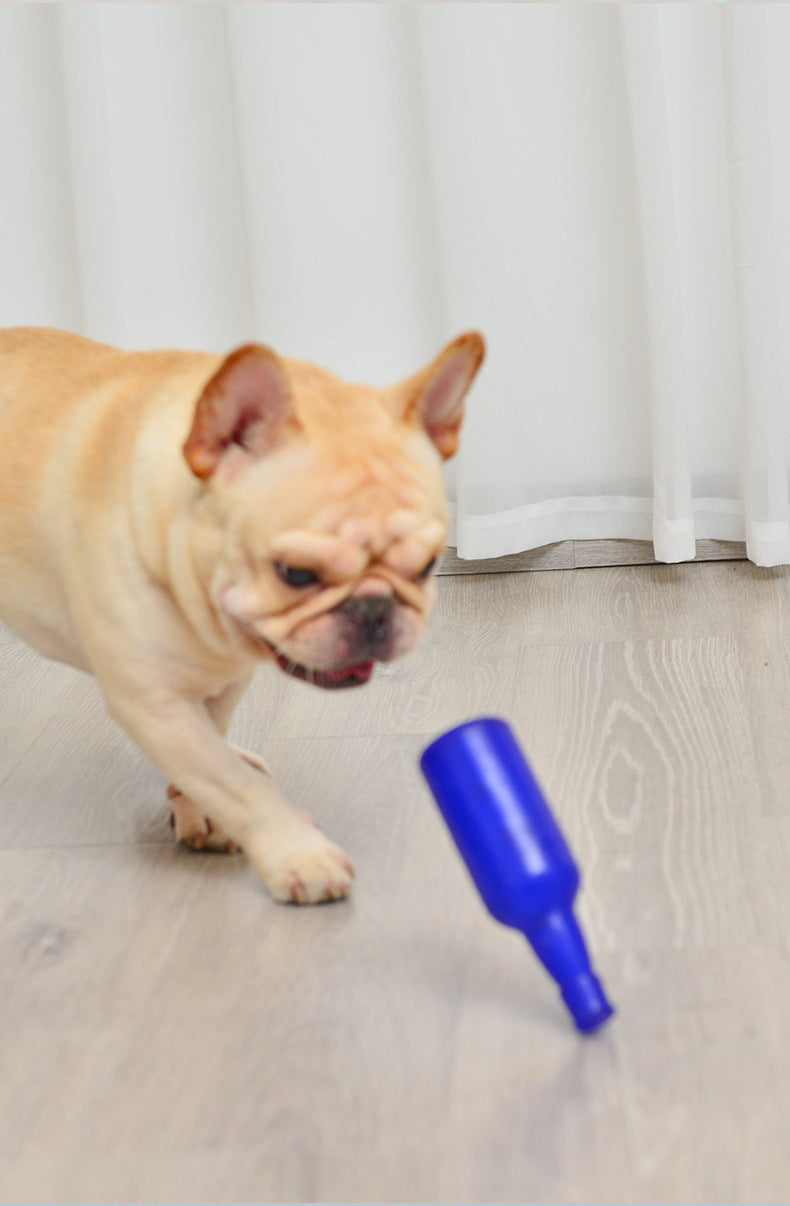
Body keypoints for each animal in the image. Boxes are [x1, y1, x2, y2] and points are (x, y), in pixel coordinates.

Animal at [0, 325, 484, 902]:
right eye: (295, 573)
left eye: (427, 565)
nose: (372, 609)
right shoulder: (155, 703)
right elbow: (233, 784)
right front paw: (299, 854)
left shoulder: (219, 684)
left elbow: (213, 758)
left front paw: (197, 810)